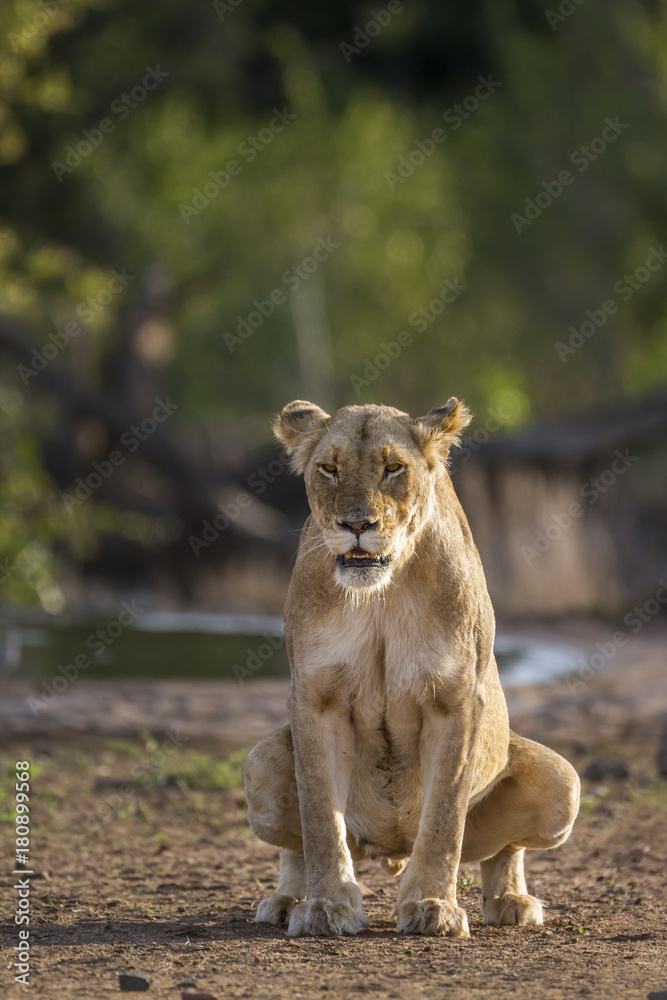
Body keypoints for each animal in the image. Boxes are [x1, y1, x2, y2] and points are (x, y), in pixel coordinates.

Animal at [242, 398, 580, 938]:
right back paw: (286, 900)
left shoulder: (458, 699)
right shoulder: (315, 698)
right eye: (329, 468)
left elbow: (444, 818)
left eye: (393, 468)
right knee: (294, 845)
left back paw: (511, 900)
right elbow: (318, 818)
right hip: (260, 766)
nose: (357, 525)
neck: (382, 592)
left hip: (564, 784)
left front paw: (432, 906)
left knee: (504, 850)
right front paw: (326, 907)